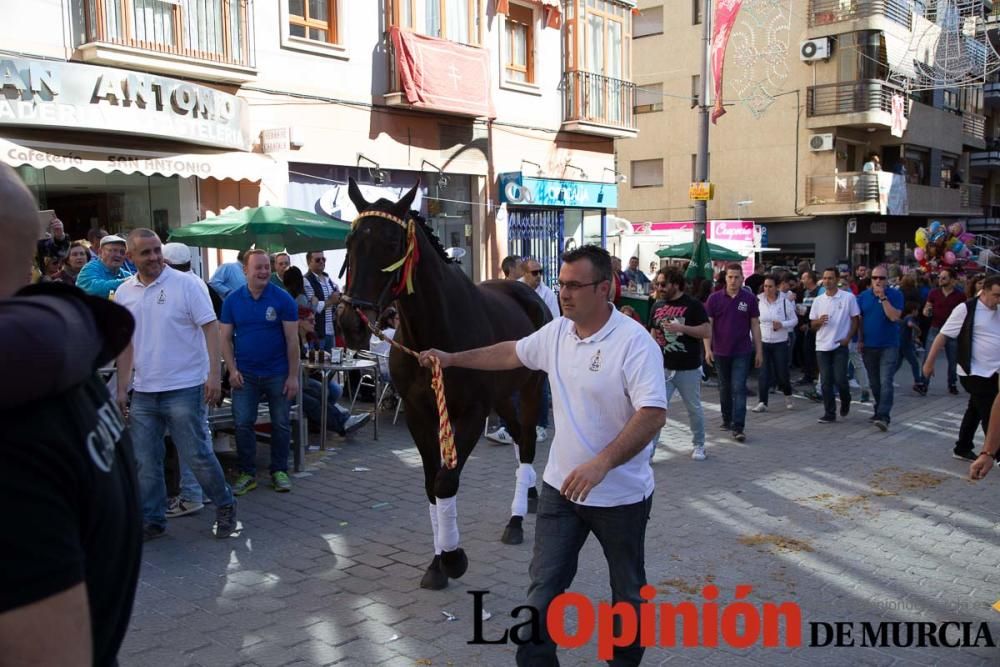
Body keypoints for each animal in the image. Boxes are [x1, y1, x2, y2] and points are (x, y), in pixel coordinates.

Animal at [340, 179, 552, 588]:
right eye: (351, 240)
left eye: (392, 244)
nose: (351, 321)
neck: (434, 333)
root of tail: (527, 292)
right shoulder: (419, 415)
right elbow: (430, 485)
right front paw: (438, 562)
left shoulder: (469, 415)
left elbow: (445, 482)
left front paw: (453, 558)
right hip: (503, 396)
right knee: (519, 437)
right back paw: (530, 494)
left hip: (531, 388)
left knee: (528, 442)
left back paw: (516, 519)